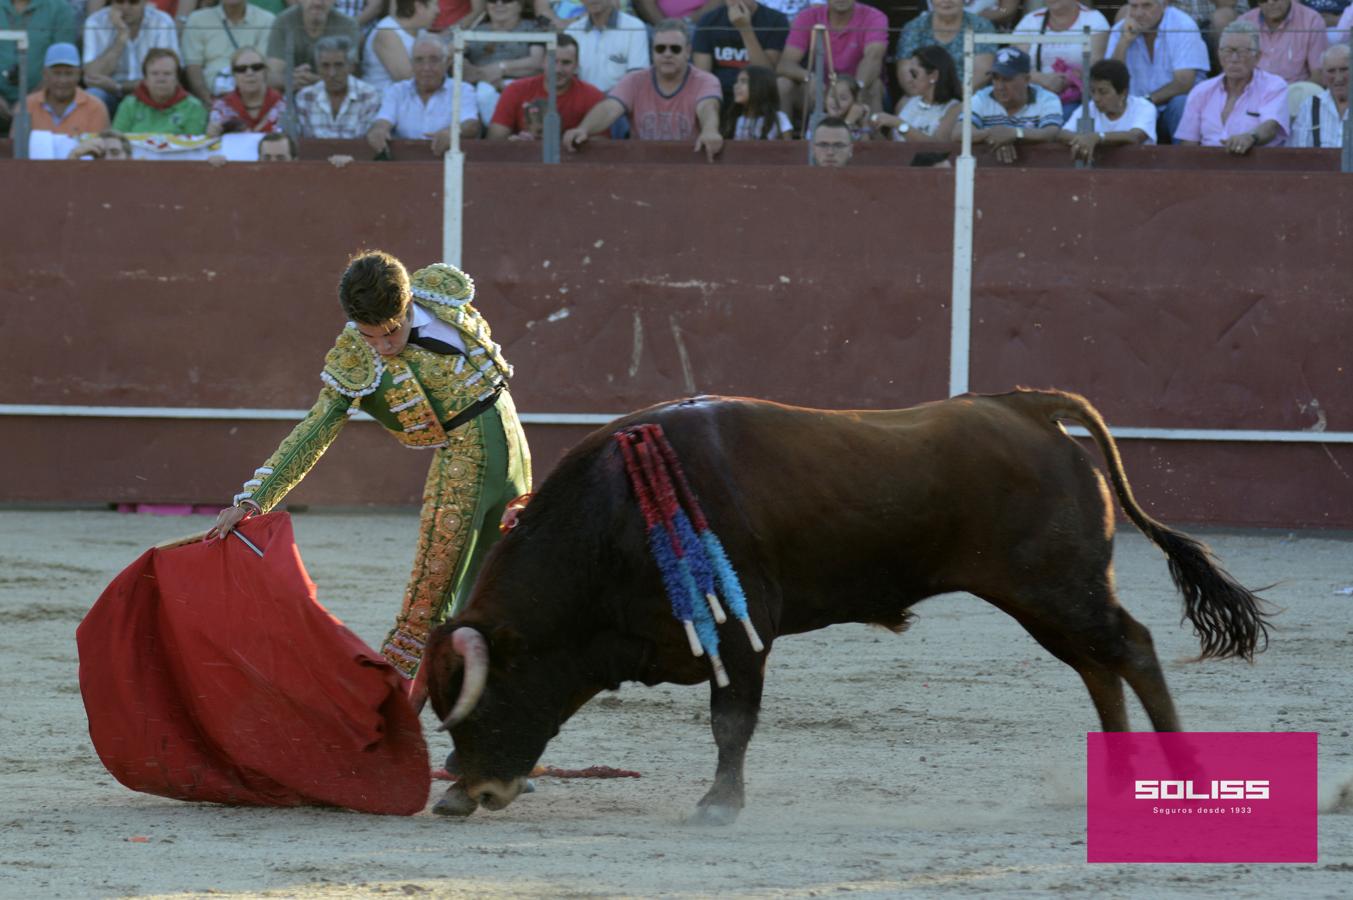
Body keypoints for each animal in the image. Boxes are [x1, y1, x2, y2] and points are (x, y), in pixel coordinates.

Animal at [419, 387, 1266, 822]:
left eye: (489, 703)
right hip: (1044, 598)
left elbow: (732, 722)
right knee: (1099, 663)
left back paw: (1180, 773)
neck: (611, 519)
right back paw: (1117, 781)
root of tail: (1026, 408)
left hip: (1057, 586)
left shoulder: (742, 635)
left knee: (1131, 647)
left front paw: (718, 806)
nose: (467, 795)